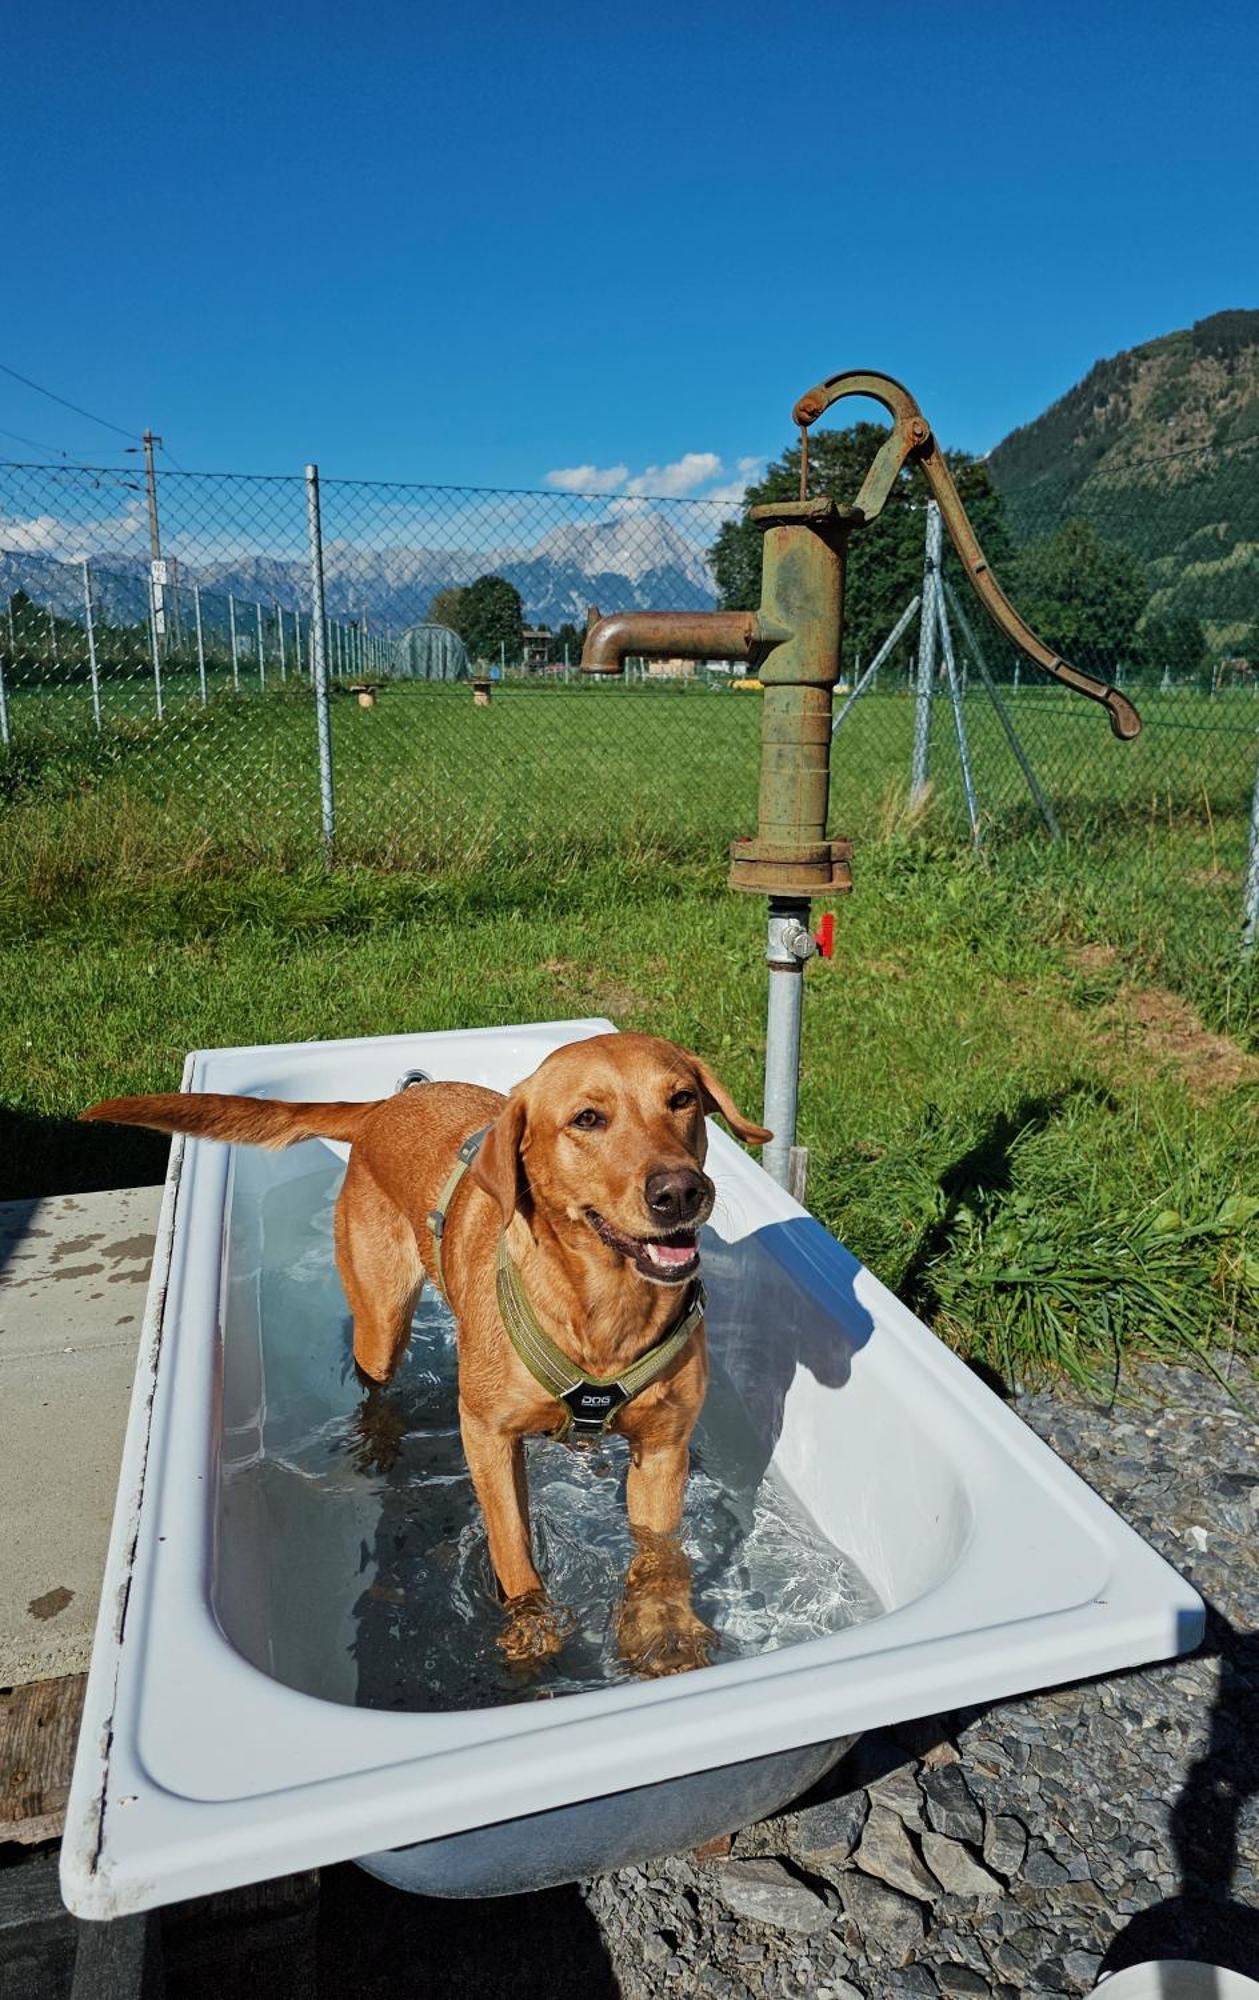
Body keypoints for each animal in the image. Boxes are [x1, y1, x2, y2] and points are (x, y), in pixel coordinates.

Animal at [86, 1040, 771, 1680]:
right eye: (587, 1118)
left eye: (681, 1100)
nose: (679, 1191)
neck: (604, 1311)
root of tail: (381, 1109)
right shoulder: (486, 1434)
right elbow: (512, 1546)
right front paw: (529, 1629)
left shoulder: (664, 1446)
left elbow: (662, 1557)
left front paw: (664, 1633)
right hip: (381, 1322)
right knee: (375, 1386)